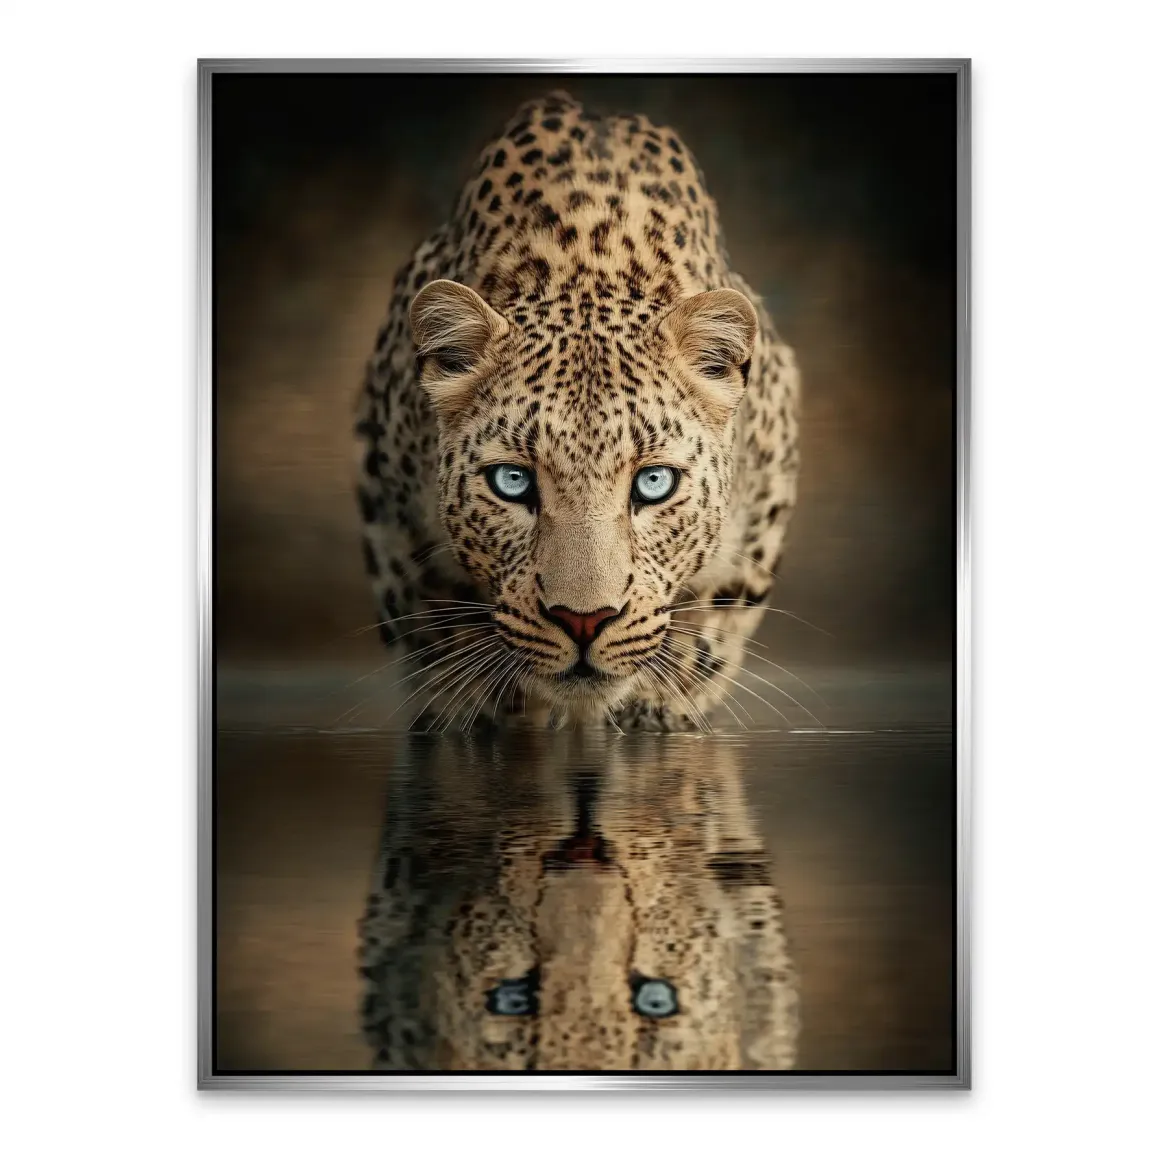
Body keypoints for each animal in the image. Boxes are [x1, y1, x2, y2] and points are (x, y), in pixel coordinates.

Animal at [354, 89, 800, 732]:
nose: (584, 620)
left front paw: (657, 706)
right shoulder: (389, 509)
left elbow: (712, 624)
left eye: (655, 483)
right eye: (512, 482)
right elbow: (433, 629)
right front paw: (478, 710)